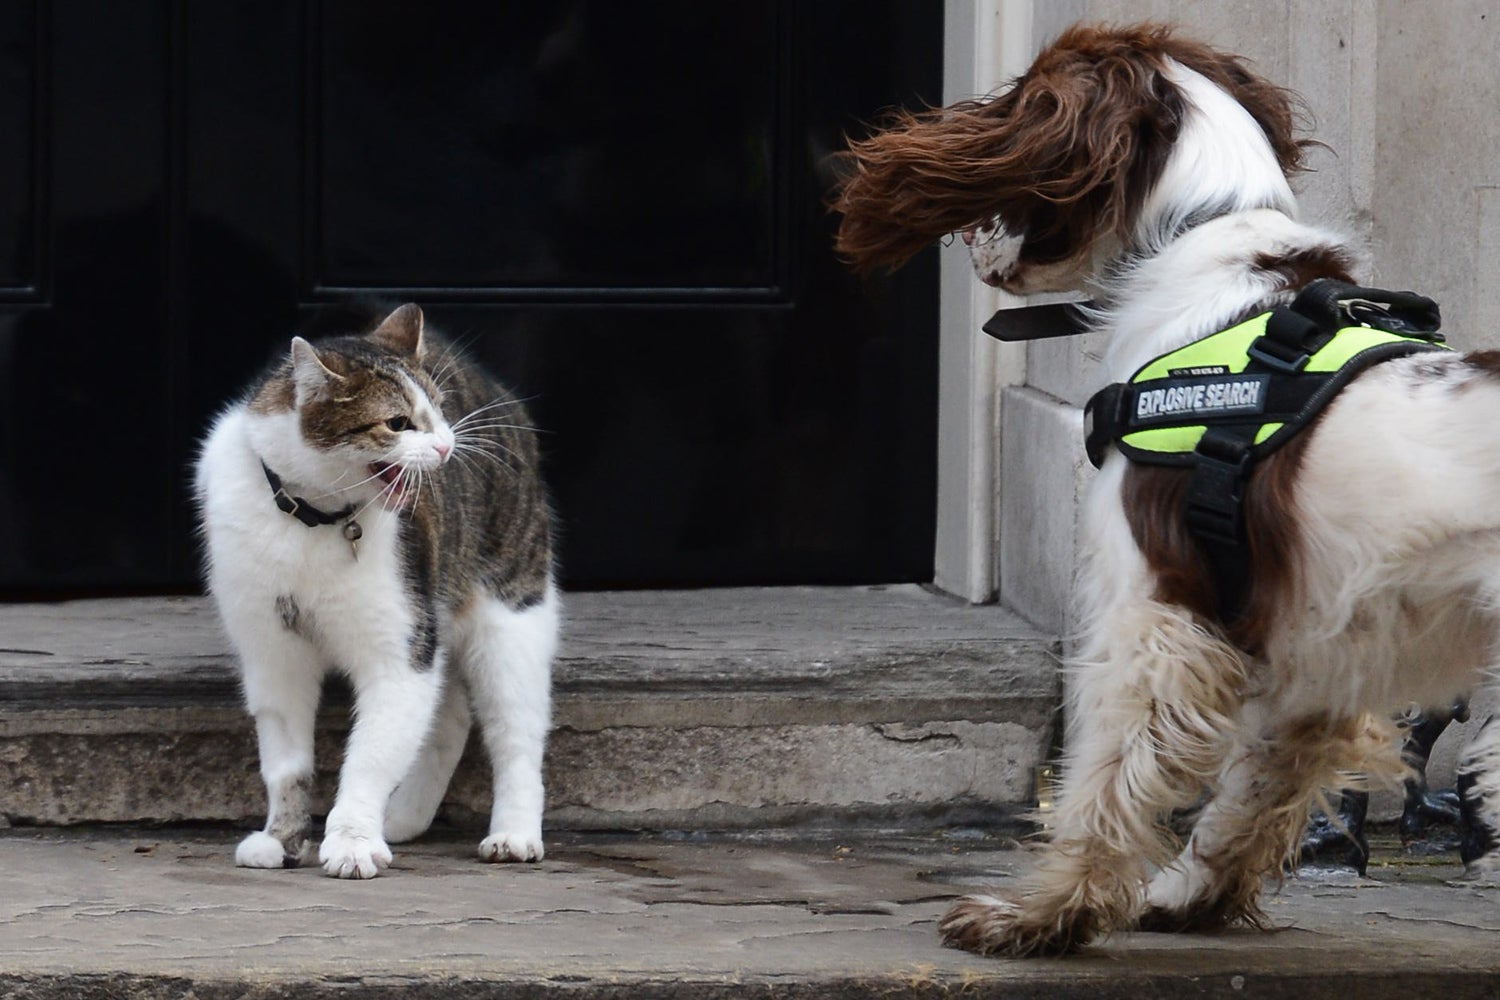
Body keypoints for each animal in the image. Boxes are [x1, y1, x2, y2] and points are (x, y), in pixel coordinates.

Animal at [193, 302, 558, 875]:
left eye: (438, 411)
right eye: (397, 423)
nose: (446, 446)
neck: (310, 518)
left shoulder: (400, 651)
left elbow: (369, 759)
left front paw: (352, 841)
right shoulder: (273, 653)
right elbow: (286, 765)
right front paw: (282, 839)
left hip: (510, 619)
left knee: (515, 734)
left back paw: (513, 834)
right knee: (450, 719)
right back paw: (405, 816)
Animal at [834, 23, 1500, 959]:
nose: (973, 242)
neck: (1202, 240)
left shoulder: (1153, 612)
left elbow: (1103, 776)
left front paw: (1042, 917)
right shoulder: (1308, 642)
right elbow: (1248, 795)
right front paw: (1191, 896)